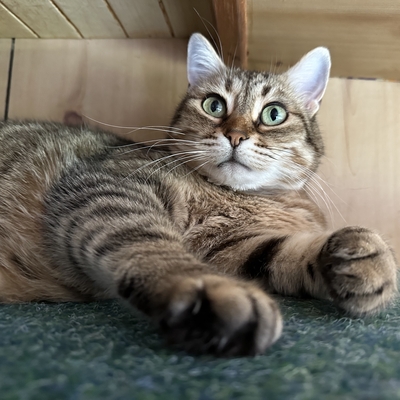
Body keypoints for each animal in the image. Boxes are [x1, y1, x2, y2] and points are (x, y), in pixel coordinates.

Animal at [0, 34, 396, 356]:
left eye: (274, 114)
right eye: (214, 105)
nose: (235, 135)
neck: (235, 198)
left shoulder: (233, 248)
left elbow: (282, 251)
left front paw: (361, 255)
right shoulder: (108, 187)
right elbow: (148, 244)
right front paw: (208, 290)